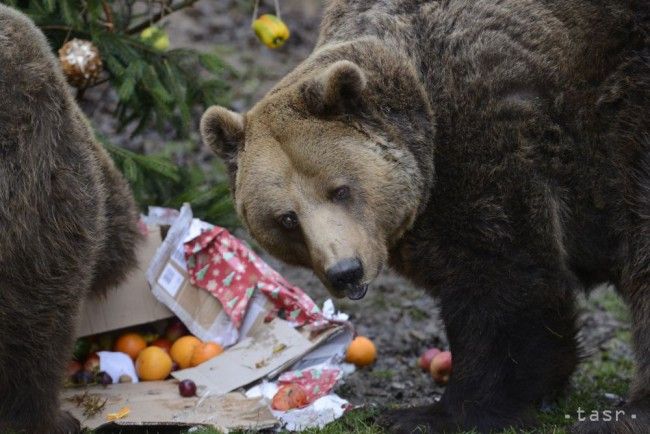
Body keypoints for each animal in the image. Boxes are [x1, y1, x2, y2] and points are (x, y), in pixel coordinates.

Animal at [200, 0, 644, 434]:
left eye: (340, 189)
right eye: (287, 218)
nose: (346, 271)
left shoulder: (485, 136)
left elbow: (504, 278)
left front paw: (432, 412)